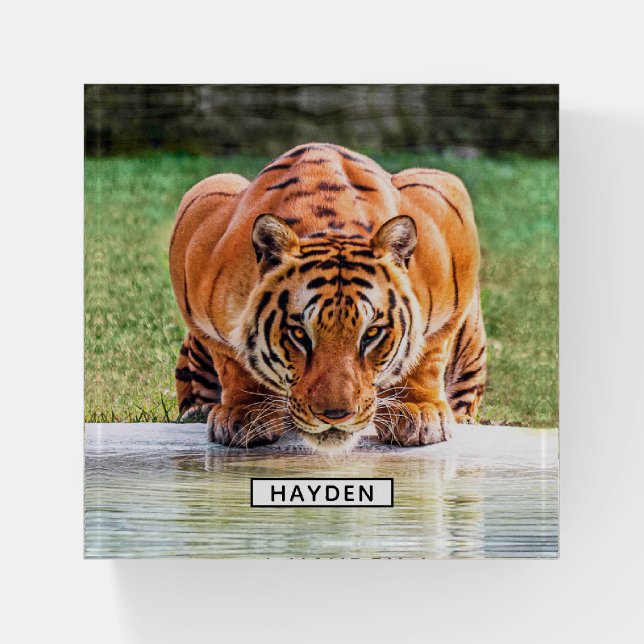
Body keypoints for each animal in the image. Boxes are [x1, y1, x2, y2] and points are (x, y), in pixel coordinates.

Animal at [169, 143, 486, 451]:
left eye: (371, 334)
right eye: (299, 334)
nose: (336, 416)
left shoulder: (445, 205)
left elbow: (429, 352)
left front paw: (418, 411)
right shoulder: (198, 221)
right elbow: (232, 360)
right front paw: (244, 413)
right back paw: (198, 411)